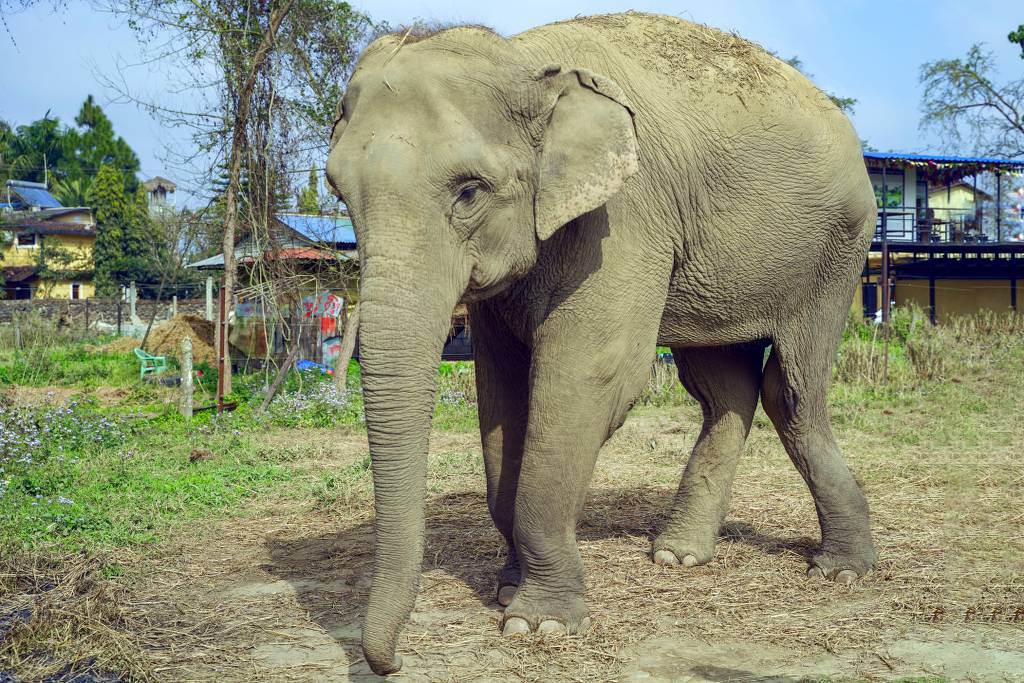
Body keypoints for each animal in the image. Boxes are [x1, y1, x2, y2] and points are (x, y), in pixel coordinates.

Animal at [325, 12, 878, 675]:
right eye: (338, 192)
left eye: (469, 191)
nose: (392, 664)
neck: (526, 61)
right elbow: (501, 392)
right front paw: (507, 589)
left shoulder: (625, 217)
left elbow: (590, 376)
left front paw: (537, 623)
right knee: (723, 388)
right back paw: (677, 555)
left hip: (837, 252)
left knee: (790, 389)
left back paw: (842, 569)